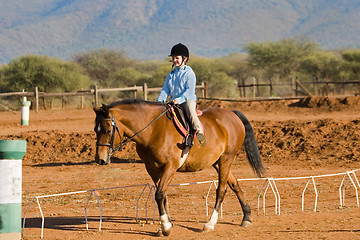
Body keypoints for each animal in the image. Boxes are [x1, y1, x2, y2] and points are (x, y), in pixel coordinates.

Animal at [93, 99, 264, 236]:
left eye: (108, 130)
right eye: (96, 130)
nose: (100, 159)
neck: (154, 130)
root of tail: (232, 114)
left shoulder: (170, 167)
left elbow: (159, 194)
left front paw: (166, 227)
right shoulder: (152, 169)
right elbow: (163, 195)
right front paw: (164, 225)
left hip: (226, 159)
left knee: (221, 190)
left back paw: (210, 224)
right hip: (218, 162)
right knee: (234, 184)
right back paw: (246, 217)